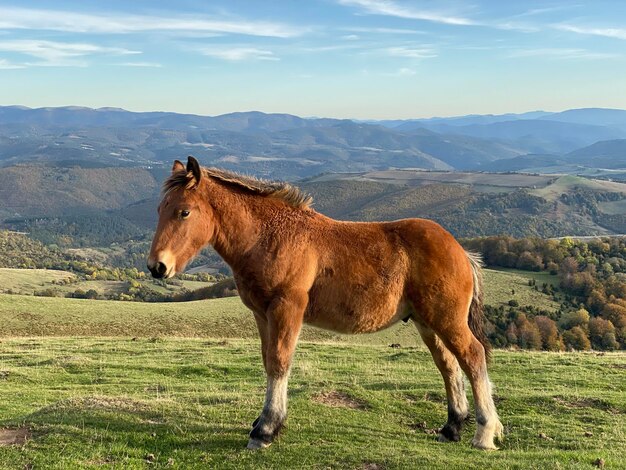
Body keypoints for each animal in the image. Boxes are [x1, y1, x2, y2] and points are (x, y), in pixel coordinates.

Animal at [147, 157, 502, 452]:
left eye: (184, 211)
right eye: (159, 209)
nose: (157, 267)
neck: (269, 238)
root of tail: (461, 251)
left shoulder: (287, 309)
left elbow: (279, 362)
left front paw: (265, 429)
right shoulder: (262, 315)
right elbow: (267, 361)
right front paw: (267, 423)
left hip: (446, 320)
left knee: (472, 356)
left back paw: (484, 433)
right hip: (426, 322)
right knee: (448, 364)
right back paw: (452, 427)